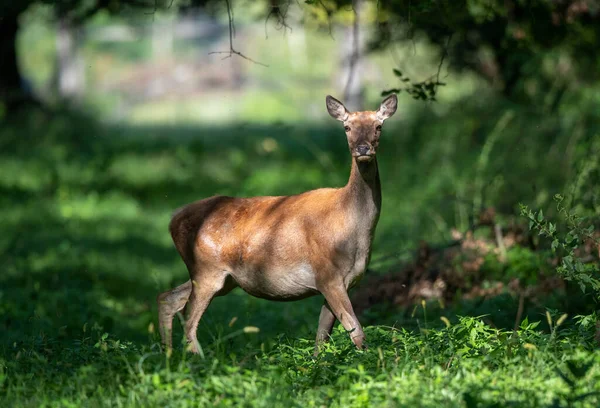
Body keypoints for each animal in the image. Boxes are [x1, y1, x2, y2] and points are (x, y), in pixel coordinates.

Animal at [157, 94, 396, 356]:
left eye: (379, 126)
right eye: (347, 127)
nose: (363, 149)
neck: (353, 229)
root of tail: (172, 220)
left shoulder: (343, 282)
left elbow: (322, 337)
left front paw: (318, 365)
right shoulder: (327, 274)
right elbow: (356, 331)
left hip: (220, 278)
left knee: (168, 299)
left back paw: (167, 356)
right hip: (207, 270)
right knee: (189, 323)